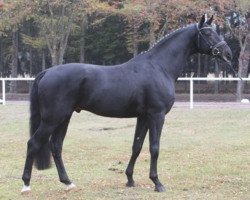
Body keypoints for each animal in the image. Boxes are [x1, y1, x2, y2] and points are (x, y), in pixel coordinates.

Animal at [21, 16, 232, 194]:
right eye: (207, 33)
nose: (228, 53)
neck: (159, 67)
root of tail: (47, 72)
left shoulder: (143, 117)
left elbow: (136, 146)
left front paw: (130, 179)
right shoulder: (157, 115)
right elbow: (154, 147)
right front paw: (157, 183)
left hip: (64, 117)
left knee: (56, 146)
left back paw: (68, 182)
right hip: (52, 119)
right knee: (33, 143)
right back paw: (26, 185)